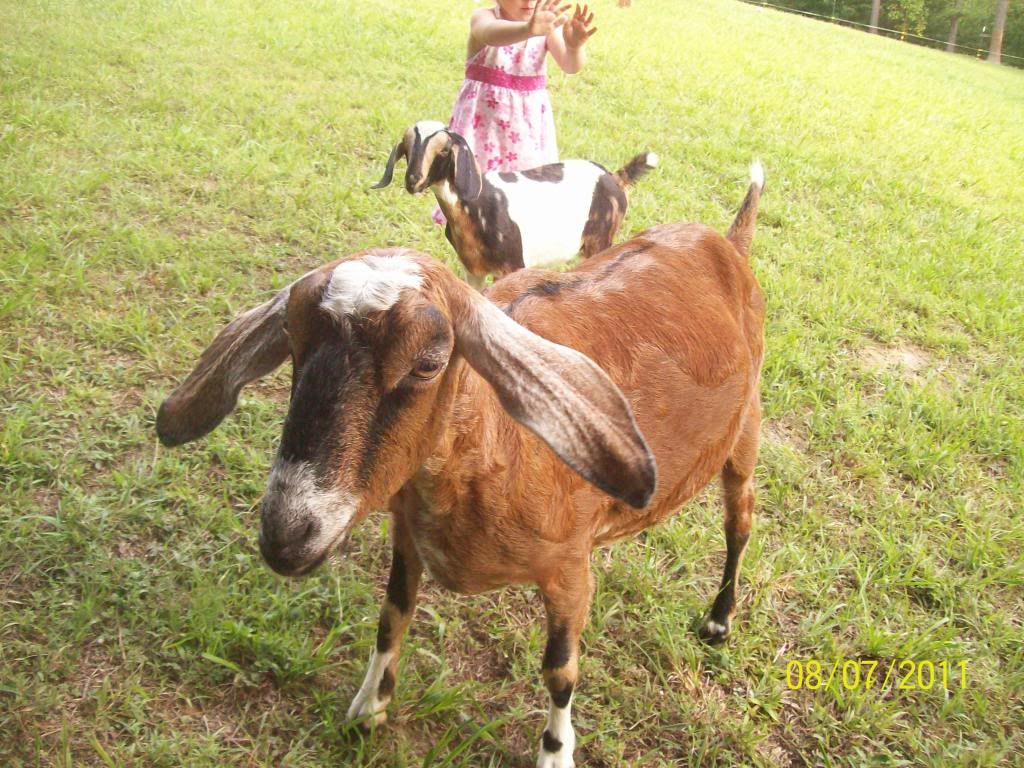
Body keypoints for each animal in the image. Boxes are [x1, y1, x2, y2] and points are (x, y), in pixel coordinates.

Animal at [156, 164, 765, 768]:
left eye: (428, 363)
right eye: (291, 336)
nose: (287, 535)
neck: (495, 442)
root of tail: (726, 241)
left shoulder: (568, 571)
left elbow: (560, 671)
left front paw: (554, 752)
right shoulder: (407, 533)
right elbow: (391, 616)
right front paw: (370, 708)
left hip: (745, 433)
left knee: (740, 522)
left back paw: (719, 619)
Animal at [372, 120, 657, 289]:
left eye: (443, 150)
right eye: (407, 148)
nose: (413, 180)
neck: (479, 206)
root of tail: (615, 177)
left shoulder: (511, 267)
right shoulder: (472, 268)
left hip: (600, 238)